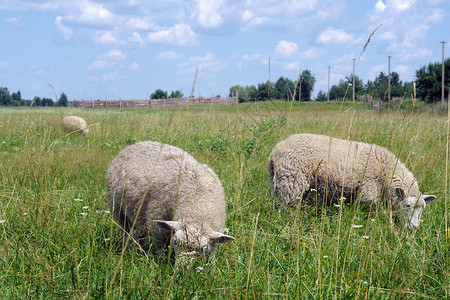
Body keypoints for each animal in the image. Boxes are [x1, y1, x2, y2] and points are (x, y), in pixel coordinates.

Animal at [268, 132, 436, 229]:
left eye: (423, 209)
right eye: (407, 205)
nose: (414, 228)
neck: (386, 170)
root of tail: (275, 151)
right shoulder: (368, 191)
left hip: (278, 182)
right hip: (291, 181)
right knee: (286, 207)